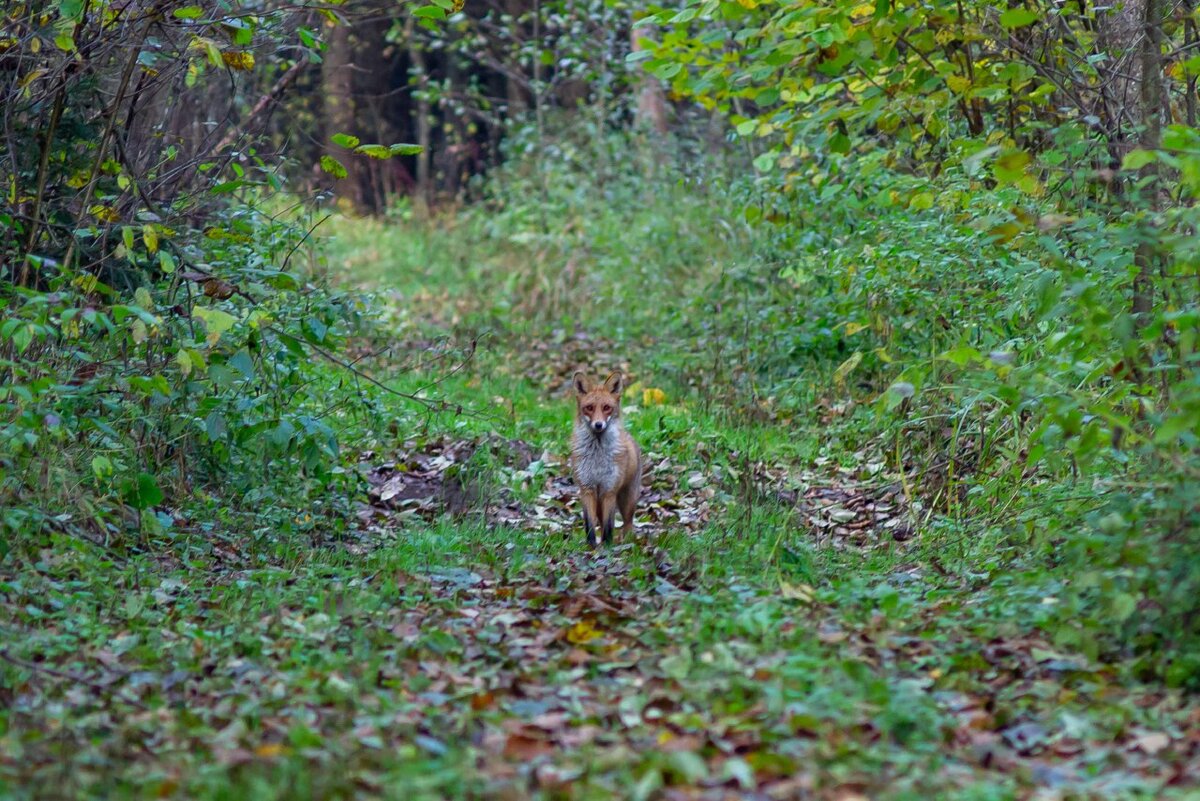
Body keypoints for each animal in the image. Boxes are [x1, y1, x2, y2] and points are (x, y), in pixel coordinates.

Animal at [568, 371, 643, 546]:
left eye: (607, 408)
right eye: (589, 408)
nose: (598, 425)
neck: (597, 457)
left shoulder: (609, 490)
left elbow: (609, 526)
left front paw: (607, 546)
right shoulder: (587, 489)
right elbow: (590, 524)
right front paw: (591, 546)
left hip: (627, 500)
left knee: (628, 524)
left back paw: (626, 542)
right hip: (599, 500)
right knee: (602, 522)